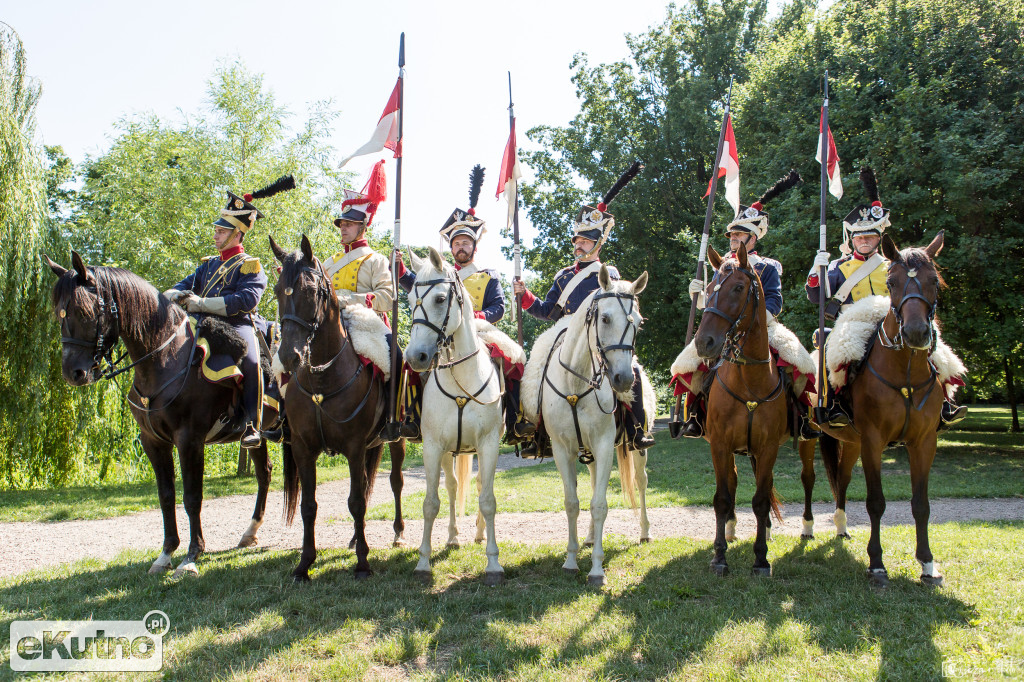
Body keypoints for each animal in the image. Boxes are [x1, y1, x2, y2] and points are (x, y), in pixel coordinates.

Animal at [270, 232, 405, 577]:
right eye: (277, 290)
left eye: (310, 291)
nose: (289, 356)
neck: (321, 379)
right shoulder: (303, 448)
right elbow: (309, 505)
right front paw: (305, 563)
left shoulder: (355, 447)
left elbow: (356, 501)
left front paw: (363, 563)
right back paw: (355, 538)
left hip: (397, 438)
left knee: (394, 482)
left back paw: (396, 534)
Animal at [403, 246, 507, 581]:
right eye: (409, 298)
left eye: (439, 299)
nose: (416, 357)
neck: (460, 376)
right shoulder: (434, 447)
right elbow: (430, 502)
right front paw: (423, 561)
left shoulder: (489, 444)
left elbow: (488, 500)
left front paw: (493, 562)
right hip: (450, 452)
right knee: (452, 487)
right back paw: (452, 537)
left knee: (479, 486)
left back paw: (479, 534)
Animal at [524, 266, 651, 585]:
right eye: (604, 318)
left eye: (638, 323)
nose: (624, 380)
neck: (576, 384)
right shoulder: (562, 450)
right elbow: (573, 503)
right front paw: (571, 561)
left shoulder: (605, 446)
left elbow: (599, 504)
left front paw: (596, 569)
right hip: (589, 453)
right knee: (594, 484)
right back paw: (592, 538)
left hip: (638, 448)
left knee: (641, 483)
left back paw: (645, 532)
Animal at [696, 242, 782, 573]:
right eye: (708, 289)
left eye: (738, 288)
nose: (703, 342)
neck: (749, 383)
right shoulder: (719, 445)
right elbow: (722, 497)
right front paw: (719, 556)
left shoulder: (768, 448)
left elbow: (760, 499)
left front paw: (760, 557)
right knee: (731, 483)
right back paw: (730, 530)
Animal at [811, 229, 946, 585]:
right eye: (892, 282)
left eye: (934, 281)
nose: (916, 333)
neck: (906, 374)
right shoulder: (873, 440)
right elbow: (875, 502)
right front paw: (876, 564)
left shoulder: (924, 442)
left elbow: (921, 504)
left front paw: (927, 563)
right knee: (811, 479)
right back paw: (807, 528)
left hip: (851, 442)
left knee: (842, 480)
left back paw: (841, 526)